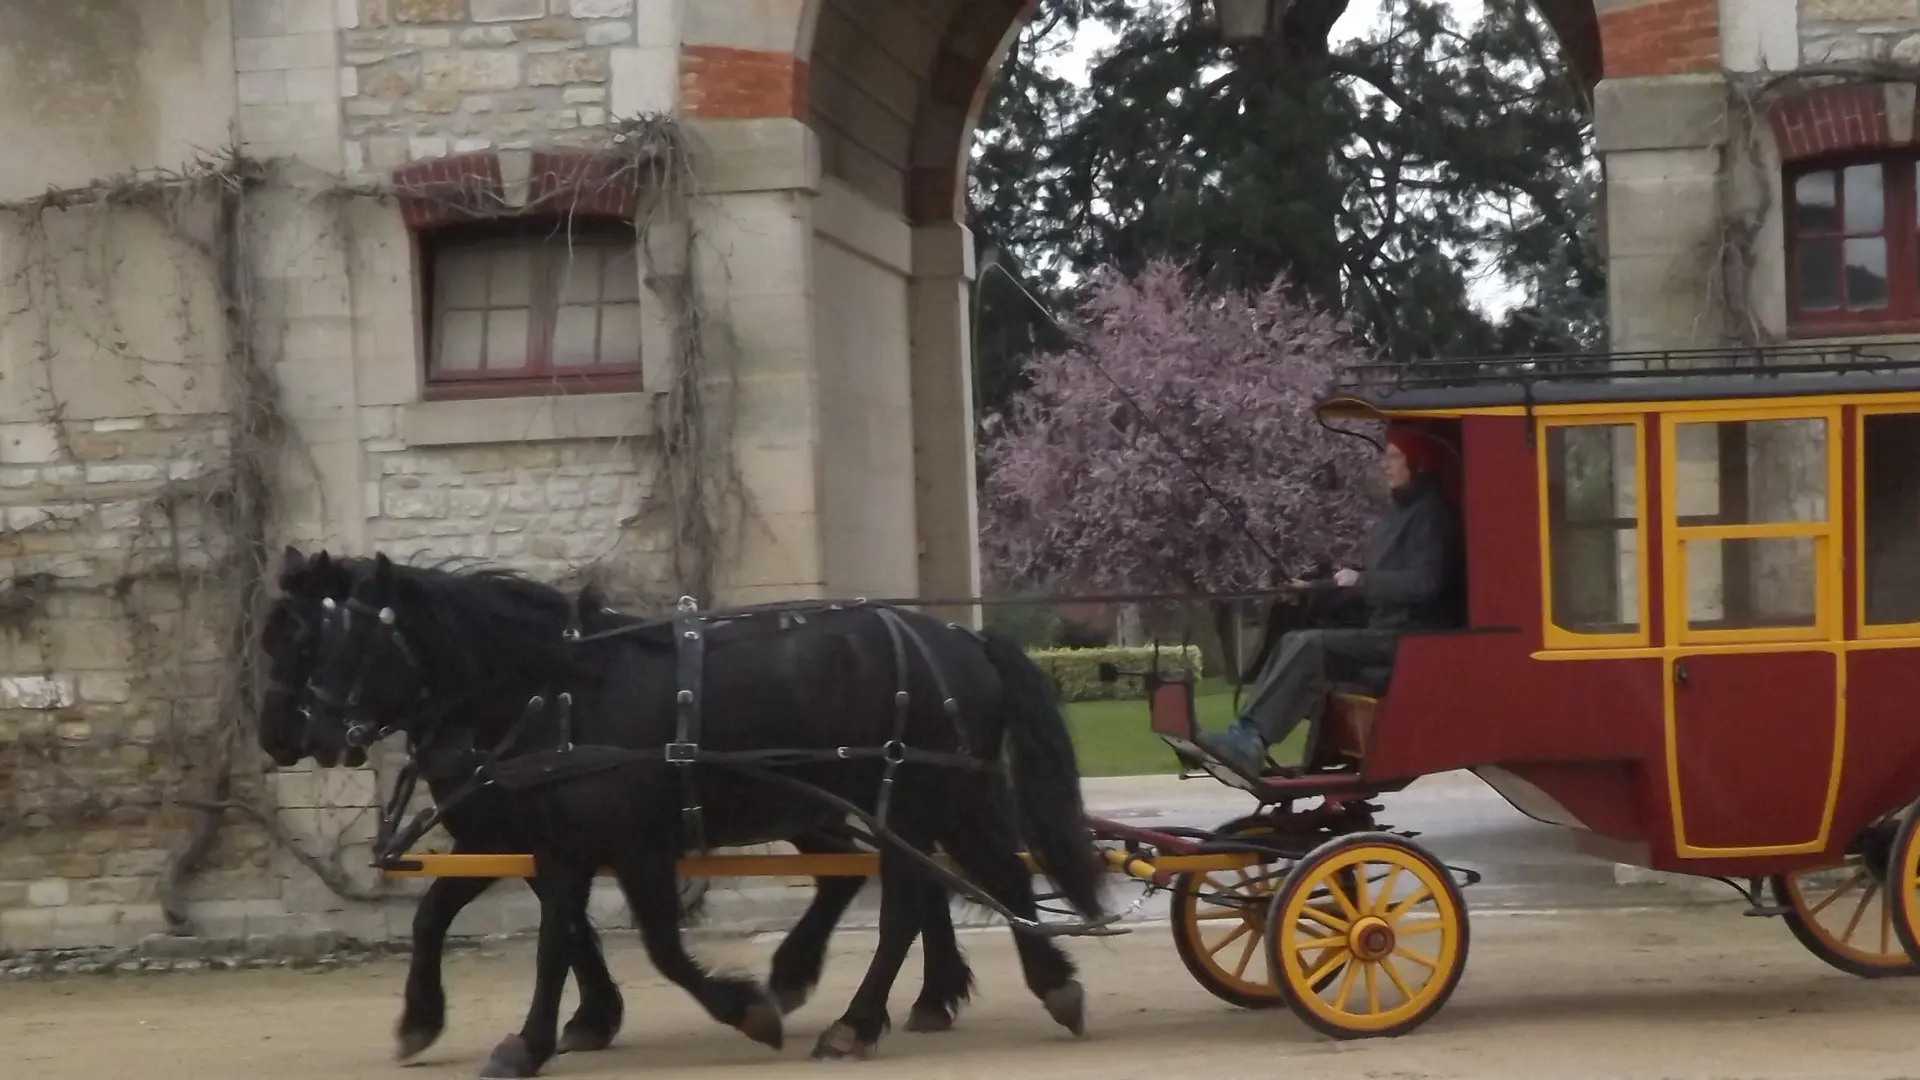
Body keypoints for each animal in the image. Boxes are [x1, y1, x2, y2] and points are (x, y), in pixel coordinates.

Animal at [305, 549, 1105, 1068]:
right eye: (304, 635)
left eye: (344, 640)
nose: (305, 732)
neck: (564, 692)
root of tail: (962, 638)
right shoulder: (560, 847)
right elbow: (550, 936)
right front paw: (532, 1036)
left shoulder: (632, 848)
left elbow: (649, 947)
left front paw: (744, 1010)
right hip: (941, 801)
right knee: (995, 876)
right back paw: (1045, 983)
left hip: (908, 802)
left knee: (911, 900)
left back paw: (855, 1022)